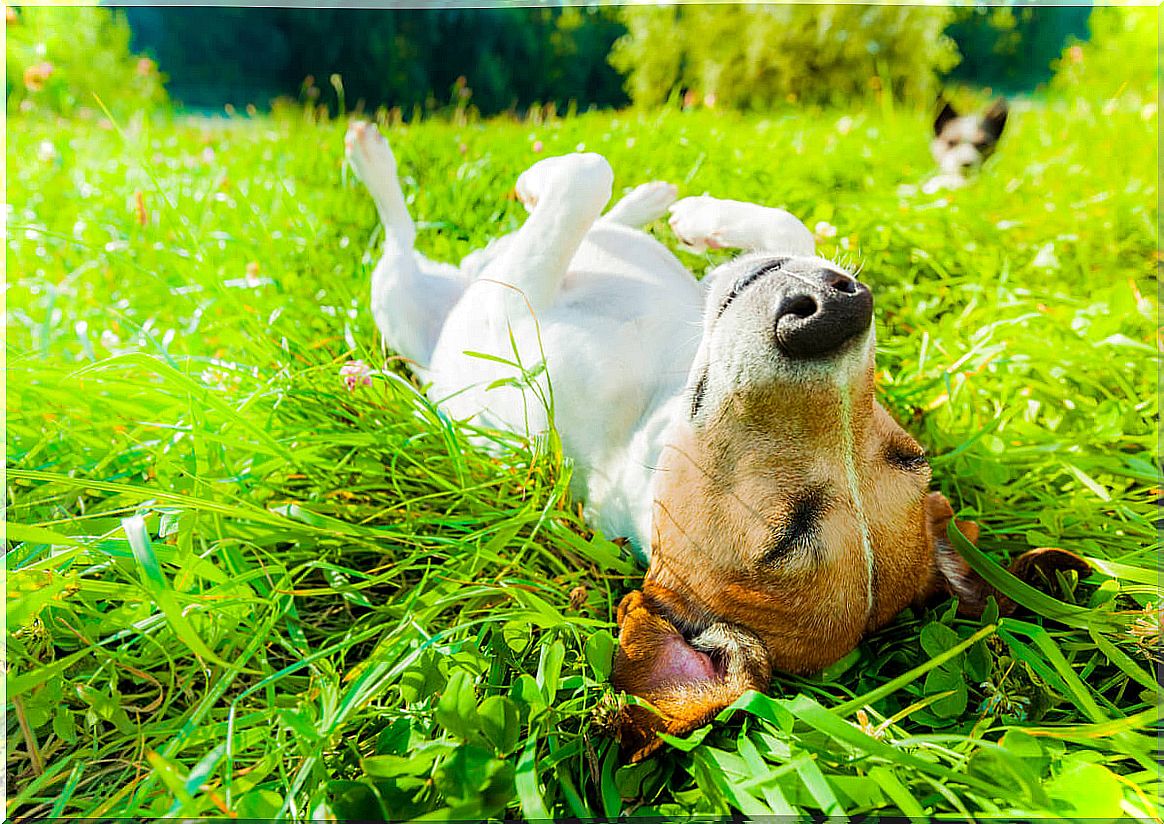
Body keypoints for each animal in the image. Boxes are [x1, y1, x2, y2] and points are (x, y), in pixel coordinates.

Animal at [342, 120, 1080, 758]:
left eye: (785, 537)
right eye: (911, 455)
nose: (834, 312)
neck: (656, 400)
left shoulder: (506, 320)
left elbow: (585, 177)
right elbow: (780, 225)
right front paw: (702, 219)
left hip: (404, 303)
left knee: (403, 250)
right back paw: (648, 202)